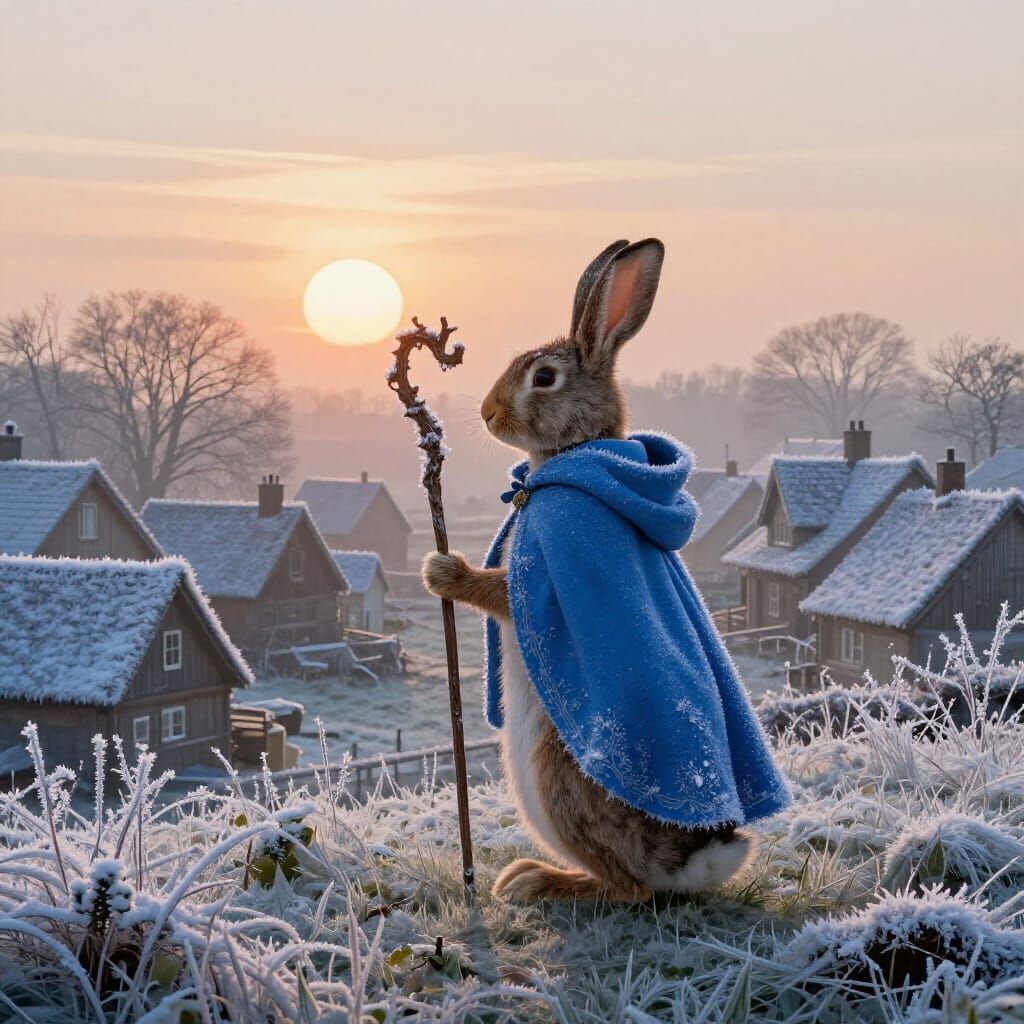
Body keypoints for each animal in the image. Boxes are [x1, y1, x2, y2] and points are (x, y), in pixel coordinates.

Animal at [422, 239, 756, 903]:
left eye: (544, 378)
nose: (488, 412)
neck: (576, 456)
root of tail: (697, 860)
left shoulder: (549, 561)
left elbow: (500, 594)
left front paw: (441, 570)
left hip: (555, 776)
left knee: (630, 890)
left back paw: (535, 882)